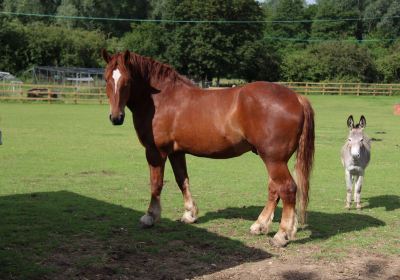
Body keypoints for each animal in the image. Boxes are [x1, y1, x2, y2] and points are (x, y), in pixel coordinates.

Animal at [101, 49, 314, 246]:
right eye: (106, 78)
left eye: (127, 80)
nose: (116, 117)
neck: (163, 99)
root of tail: (297, 97)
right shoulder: (176, 152)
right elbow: (182, 180)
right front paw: (189, 214)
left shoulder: (155, 152)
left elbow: (156, 184)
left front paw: (150, 216)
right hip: (274, 159)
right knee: (275, 189)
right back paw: (260, 226)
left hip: (273, 159)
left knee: (287, 188)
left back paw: (281, 235)